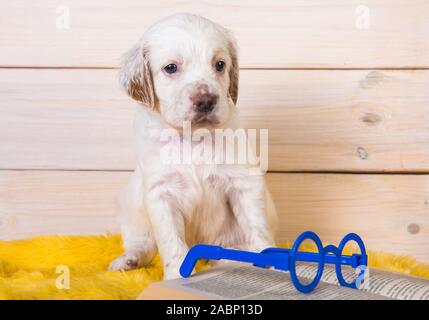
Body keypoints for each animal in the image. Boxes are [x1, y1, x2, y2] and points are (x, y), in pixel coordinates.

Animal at [109, 13, 278, 278]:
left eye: (220, 65)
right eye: (171, 68)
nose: (206, 100)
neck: (192, 138)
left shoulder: (244, 182)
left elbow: (257, 226)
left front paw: (269, 264)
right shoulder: (161, 193)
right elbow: (172, 243)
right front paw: (177, 277)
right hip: (129, 204)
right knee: (143, 241)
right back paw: (130, 260)